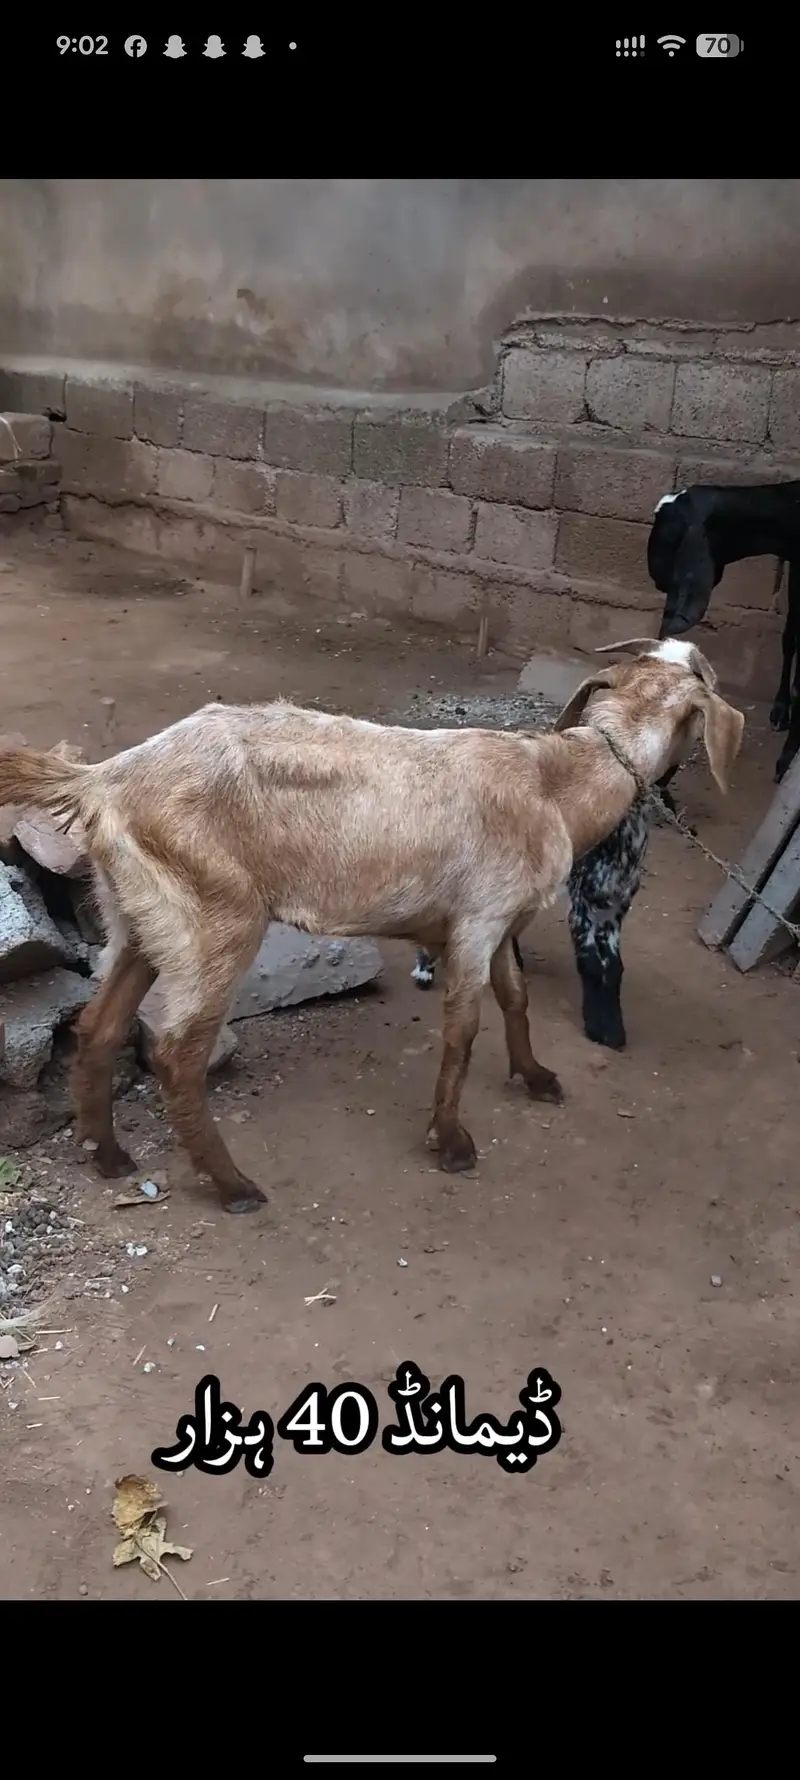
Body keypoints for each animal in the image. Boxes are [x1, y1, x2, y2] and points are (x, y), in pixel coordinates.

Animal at [0, 638, 743, 1215]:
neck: (553, 787)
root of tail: (103, 780)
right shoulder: (477, 920)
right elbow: (463, 1030)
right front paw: (450, 1142)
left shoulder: (501, 919)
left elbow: (516, 998)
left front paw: (534, 1076)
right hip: (214, 917)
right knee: (178, 1054)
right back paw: (232, 1185)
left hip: (140, 915)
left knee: (100, 1028)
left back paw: (108, 1156)